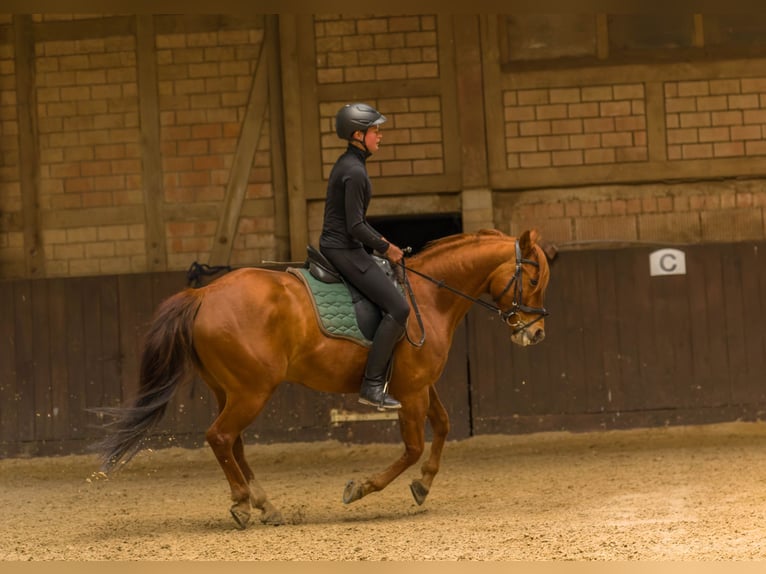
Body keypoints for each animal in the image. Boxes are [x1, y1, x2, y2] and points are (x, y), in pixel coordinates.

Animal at [96, 230, 552, 532]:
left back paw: (265, 505)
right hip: (251, 391)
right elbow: (412, 447)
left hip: (230, 390)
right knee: (221, 437)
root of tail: (203, 294)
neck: (429, 297)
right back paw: (243, 504)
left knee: (233, 442)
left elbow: (441, 426)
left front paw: (423, 485)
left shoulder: (421, 384)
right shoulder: (410, 391)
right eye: (532, 280)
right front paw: (361, 487)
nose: (535, 334)